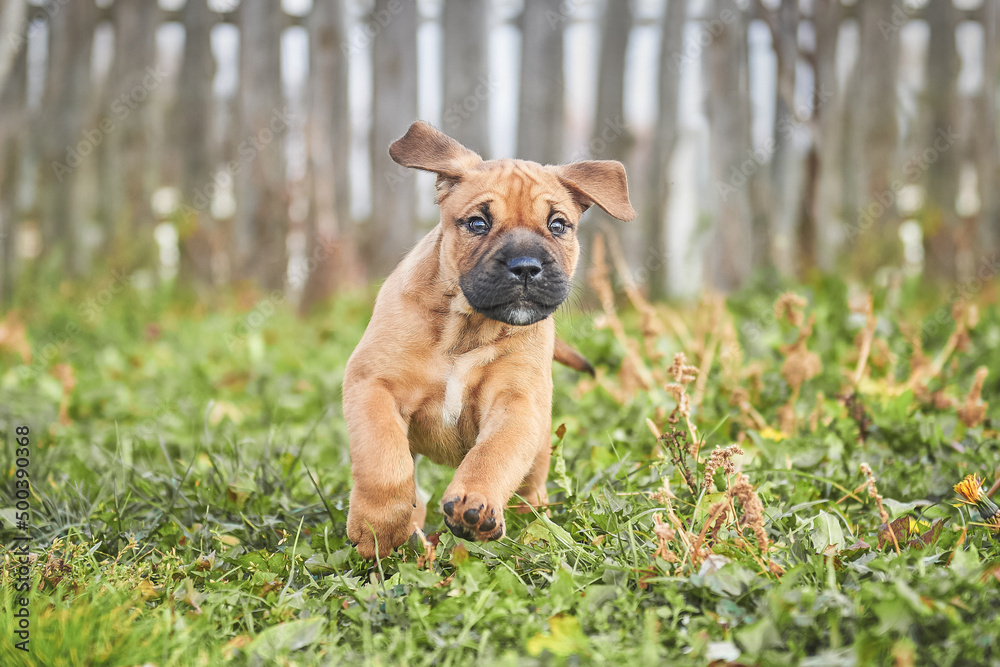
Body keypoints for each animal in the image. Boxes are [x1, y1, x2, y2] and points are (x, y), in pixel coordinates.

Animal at [344, 121, 632, 560]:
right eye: (478, 223)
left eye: (558, 225)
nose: (526, 267)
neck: (466, 328)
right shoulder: (372, 384)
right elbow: (383, 460)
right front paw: (380, 526)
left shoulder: (516, 404)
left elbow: (492, 455)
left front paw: (475, 502)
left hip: (539, 451)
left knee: (531, 490)